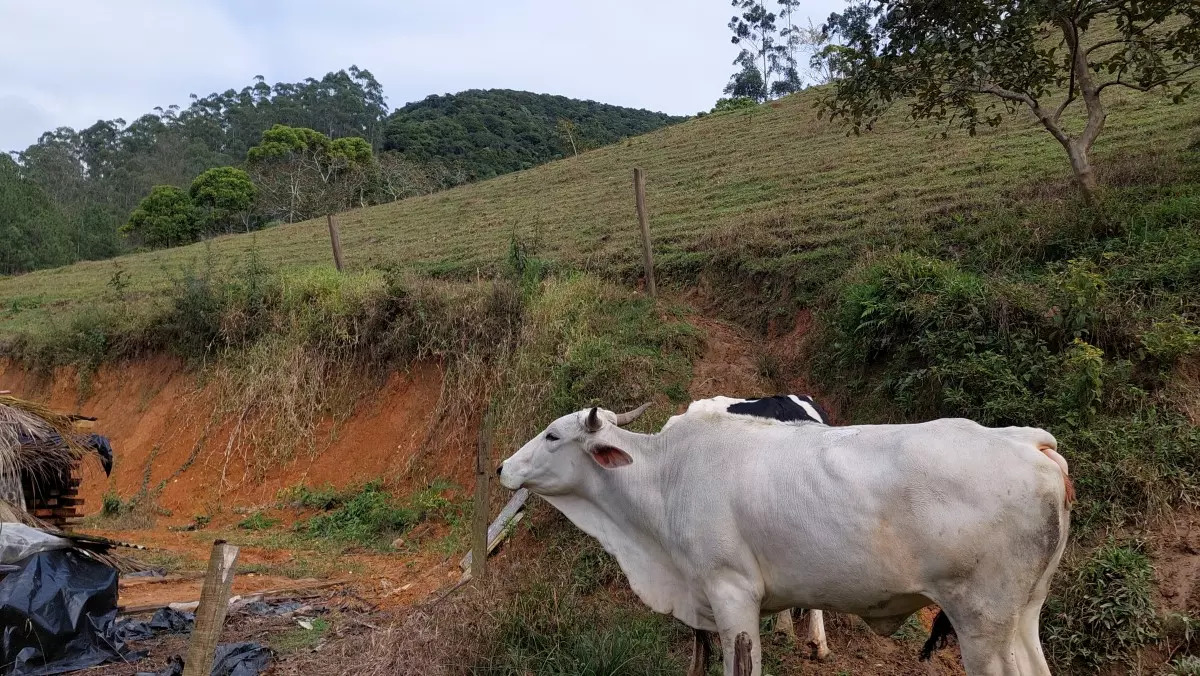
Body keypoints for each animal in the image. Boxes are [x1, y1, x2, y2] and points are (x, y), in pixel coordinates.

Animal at [496, 405, 1070, 672]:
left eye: (552, 435)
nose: (502, 467)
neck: (667, 477)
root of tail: (1032, 443)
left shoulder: (731, 594)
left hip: (981, 623)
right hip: (1022, 615)